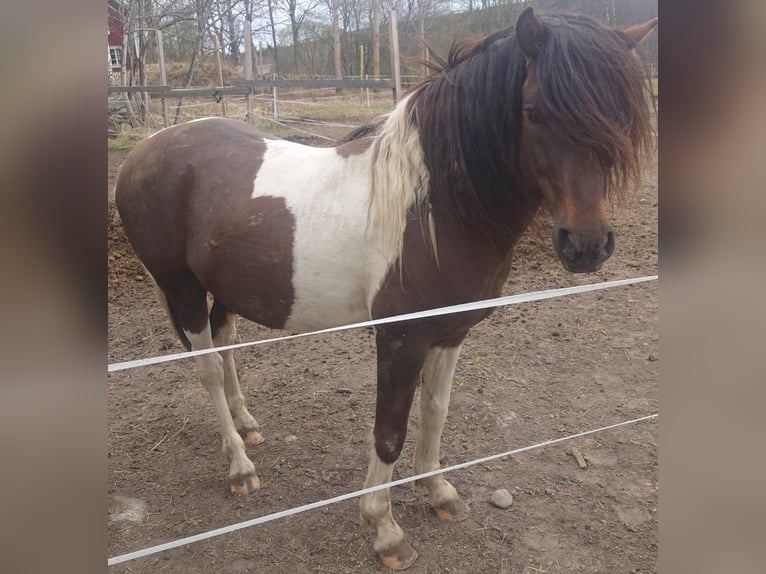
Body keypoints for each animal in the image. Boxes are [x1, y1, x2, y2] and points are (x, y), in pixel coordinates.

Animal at [115, 8, 656, 570]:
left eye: (620, 115)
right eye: (533, 110)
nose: (586, 245)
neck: (436, 208)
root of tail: (144, 150)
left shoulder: (451, 333)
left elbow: (436, 412)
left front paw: (439, 492)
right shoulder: (401, 338)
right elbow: (389, 433)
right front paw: (384, 528)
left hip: (224, 287)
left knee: (225, 348)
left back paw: (247, 425)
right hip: (180, 287)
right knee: (206, 370)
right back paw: (240, 466)